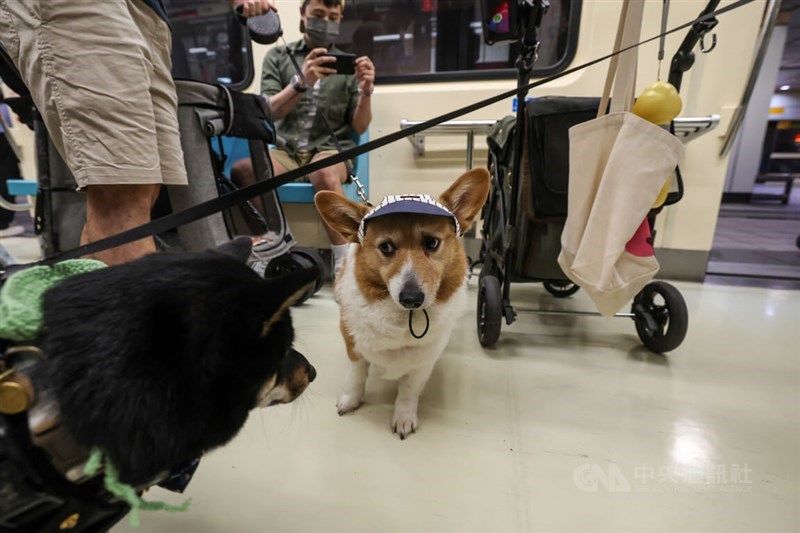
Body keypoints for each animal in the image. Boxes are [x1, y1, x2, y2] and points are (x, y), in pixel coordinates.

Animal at [316, 168, 490, 438]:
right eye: (386, 247)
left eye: (432, 243)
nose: (411, 298)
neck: (404, 320)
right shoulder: (354, 345)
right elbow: (356, 375)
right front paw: (350, 400)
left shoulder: (423, 361)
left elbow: (408, 390)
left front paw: (404, 418)